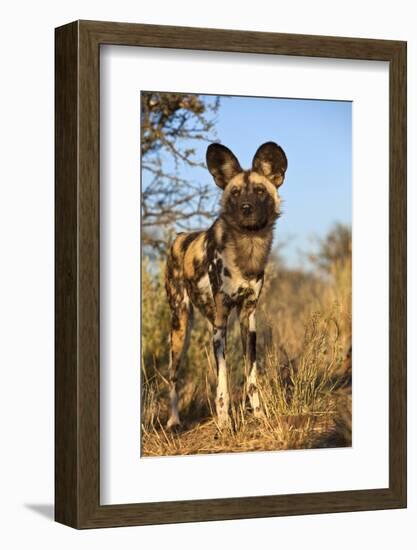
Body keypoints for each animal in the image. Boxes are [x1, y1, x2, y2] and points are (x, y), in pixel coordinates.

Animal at [164, 141, 288, 432]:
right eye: (235, 193)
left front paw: (259, 415)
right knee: (173, 375)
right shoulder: (220, 324)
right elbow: (222, 380)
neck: (247, 249)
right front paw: (224, 421)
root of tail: (179, 237)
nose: (246, 207)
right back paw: (174, 421)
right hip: (180, 326)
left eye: (259, 191)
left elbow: (251, 377)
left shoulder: (247, 318)